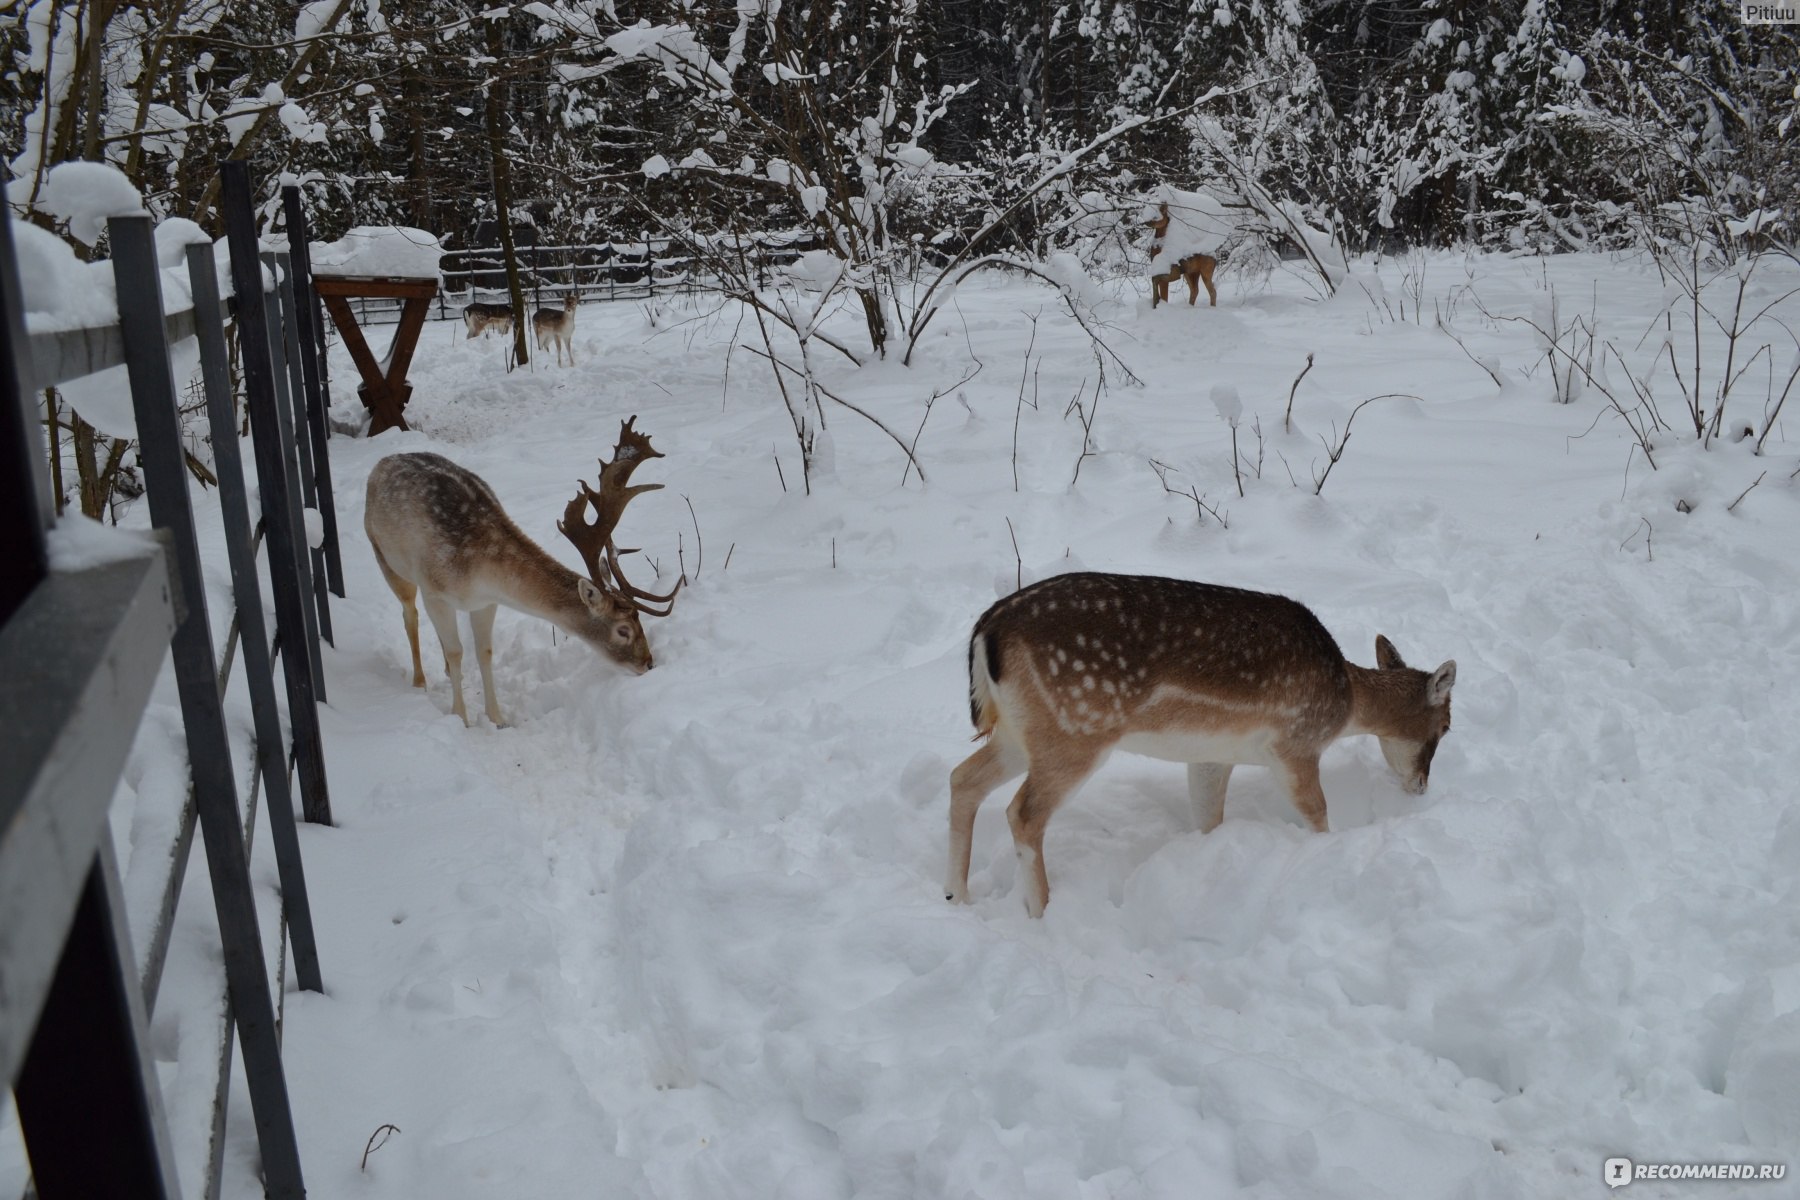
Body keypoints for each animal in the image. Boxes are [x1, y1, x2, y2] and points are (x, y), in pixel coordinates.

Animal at [363, 417, 680, 726]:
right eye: (623, 629)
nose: (648, 663)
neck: (475, 574)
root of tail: (382, 462)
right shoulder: (435, 592)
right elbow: (456, 651)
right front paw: (461, 718)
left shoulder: (487, 602)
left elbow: (484, 652)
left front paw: (498, 719)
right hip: (385, 558)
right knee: (410, 615)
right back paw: (419, 682)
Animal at [950, 572, 1454, 921]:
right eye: (1446, 726)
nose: (1421, 785)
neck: (1345, 703)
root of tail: (986, 631)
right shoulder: (1296, 744)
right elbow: (1317, 812)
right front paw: (1324, 853)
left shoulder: (1213, 756)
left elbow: (1208, 817)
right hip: (1074, 731)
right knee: (1023, 811)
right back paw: (1042, 912)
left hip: (1019, 732)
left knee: (963, 777)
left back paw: (956, 894)